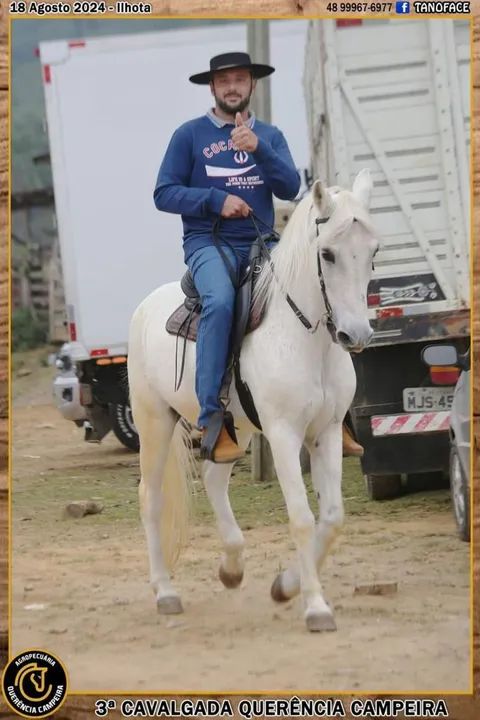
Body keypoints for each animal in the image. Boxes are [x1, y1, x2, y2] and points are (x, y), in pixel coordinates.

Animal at [127, 168, 379, 632]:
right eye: (328, 254)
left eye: (374, 251)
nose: (356, 334)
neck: (304, 336)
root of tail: (147, 305)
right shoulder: (283, 434)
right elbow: (302, 518)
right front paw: (316, 607)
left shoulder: (326, 433)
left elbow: (332, 517)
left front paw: (287, 586)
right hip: (154, 421)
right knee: (150, 499)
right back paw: (166, 592)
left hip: (236, 429)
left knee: (213, 479)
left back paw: (232, 567)